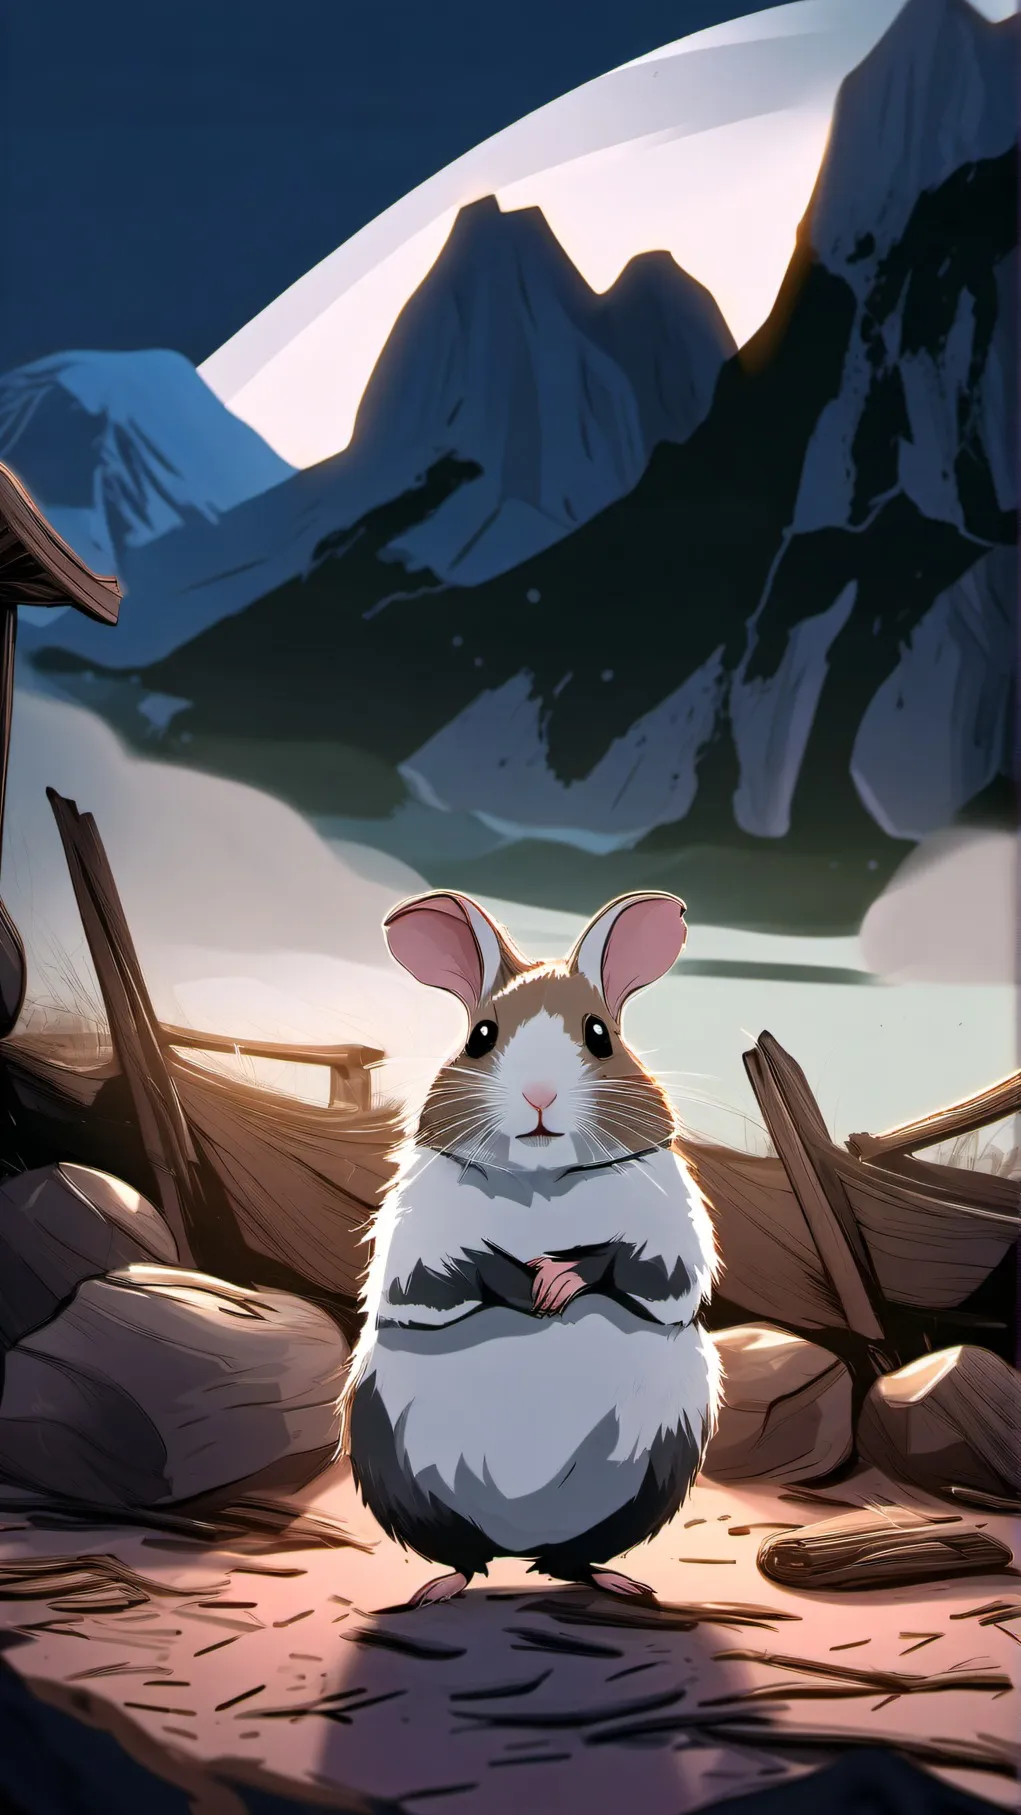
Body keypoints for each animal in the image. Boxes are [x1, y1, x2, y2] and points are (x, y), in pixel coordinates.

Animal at [342, 889, 721, 1606]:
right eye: (480, 1037)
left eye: (600, 1035)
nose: (539, 1095)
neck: (542, 1180)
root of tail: (518, 1542)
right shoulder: (418, 1252)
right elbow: (462, 1273)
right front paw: (532, 1288)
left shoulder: (667, 1240)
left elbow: (629, 1268)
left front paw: (557, 1283)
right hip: (388, 1458)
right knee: (465, 1556)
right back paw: (437, 1587)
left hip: (661, 1465)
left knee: (575, 1557)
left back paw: (620, 1582)